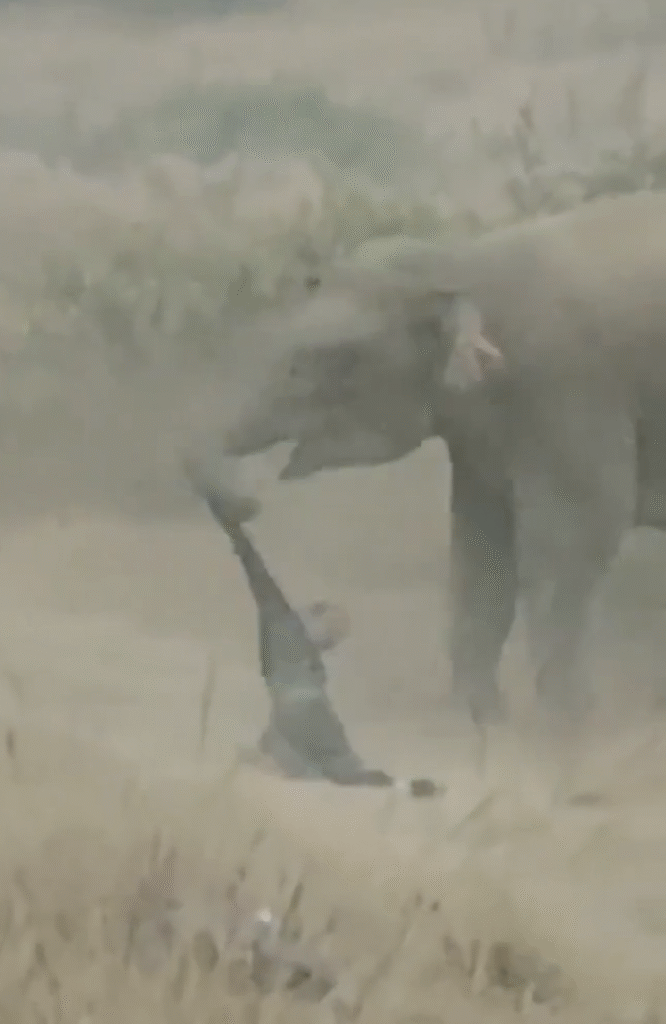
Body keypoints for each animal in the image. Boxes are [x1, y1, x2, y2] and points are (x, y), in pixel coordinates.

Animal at [198, 189, 666, 731]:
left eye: (331, 359)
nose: (247, 499)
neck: (458, 259)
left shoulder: (569, 387)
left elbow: (572, 539)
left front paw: (569, 728)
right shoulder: (486, 434)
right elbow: (482, 548)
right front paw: (478, 719)